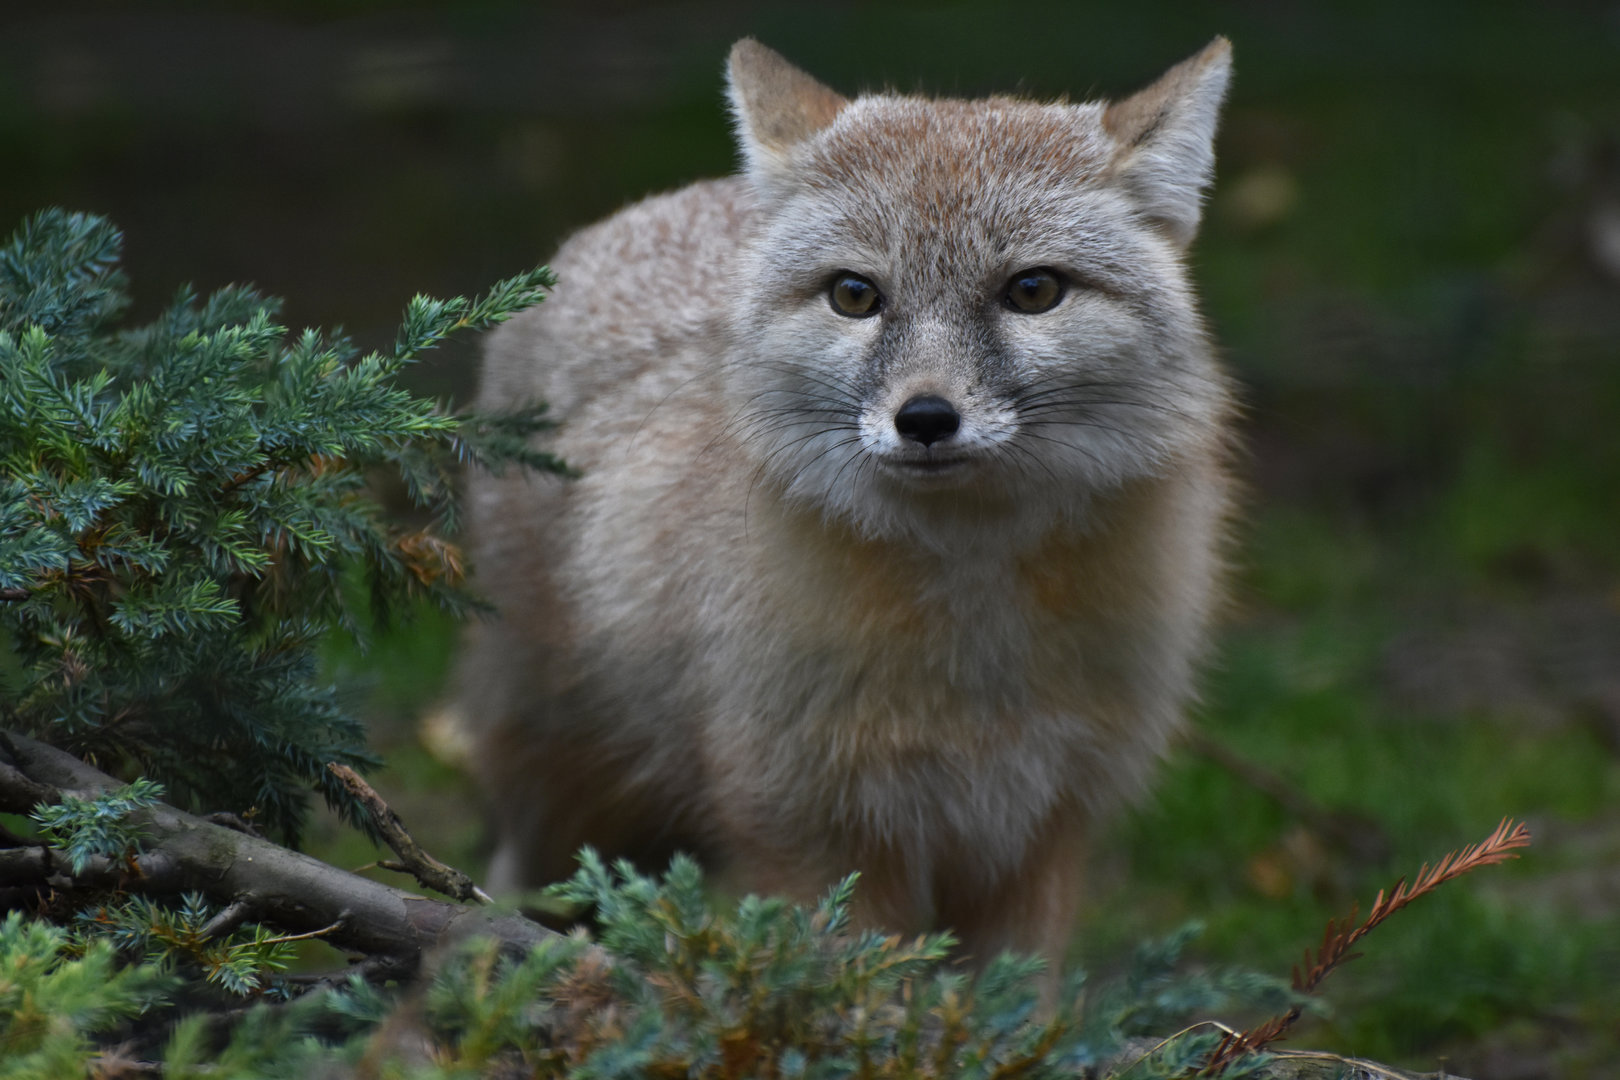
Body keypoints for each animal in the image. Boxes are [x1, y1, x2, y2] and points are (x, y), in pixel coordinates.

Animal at [455, 37, 1235, 969]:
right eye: (855, 295)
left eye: (1034, 290)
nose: (926, 418)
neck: (973, 662)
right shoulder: (811, 837)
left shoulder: (1033, 838)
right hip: (561, 791)